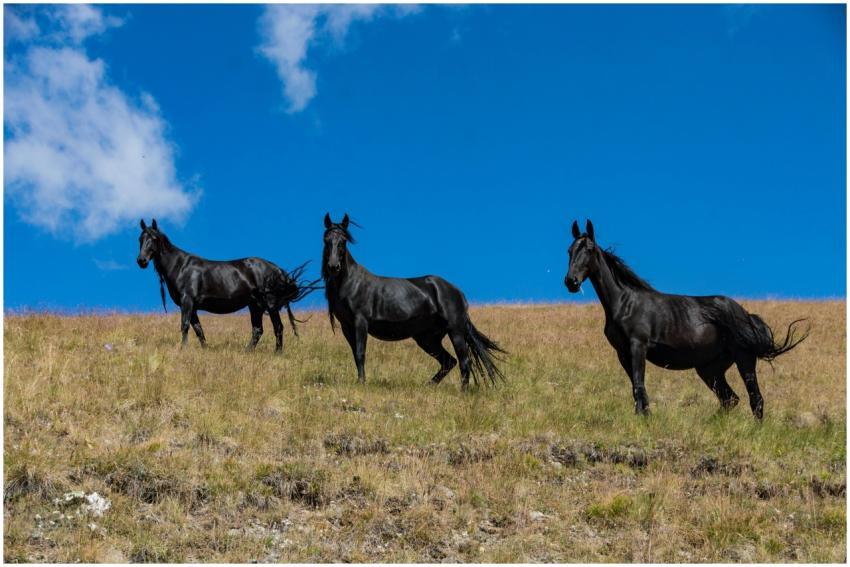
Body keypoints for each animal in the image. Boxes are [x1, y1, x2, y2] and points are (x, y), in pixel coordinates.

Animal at [136, 219, 320, 352]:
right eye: (140, 239)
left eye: (154, 239)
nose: (141, 261)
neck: (180, 266)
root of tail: (278, 270)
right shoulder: (192, 306)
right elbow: (198, 329)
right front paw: (205, 349)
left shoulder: (187, 302)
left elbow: (185, 326)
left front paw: (183, 349)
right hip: (255, 306)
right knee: (257, 330)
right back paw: (247, 351)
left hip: (271, 305)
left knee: (278, 328)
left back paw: (277, 352)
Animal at [321, 213, 506, 389]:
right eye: (326, 240)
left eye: (343, 241)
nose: (333, 267)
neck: (351, 283)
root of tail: (459, 294)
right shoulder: (347, 326)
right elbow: (355, 354)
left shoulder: (361, 322)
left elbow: (360, 353)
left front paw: (361, 382)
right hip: (427, 338)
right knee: (449, 361)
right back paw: (429, 386)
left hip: (455, 331)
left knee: (464, 361)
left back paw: (463, 391)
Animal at [564, 219, 808, 419]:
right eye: (569, 250)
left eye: (589, 249)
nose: (571, 282)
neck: (625, 302)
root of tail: (746, 315)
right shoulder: (622, 353)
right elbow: (635, 386)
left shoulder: (637, 346)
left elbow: (639, 385)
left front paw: (644, 419)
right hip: (709, 369)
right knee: (730, 399)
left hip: (744, 358)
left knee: (755, 399)